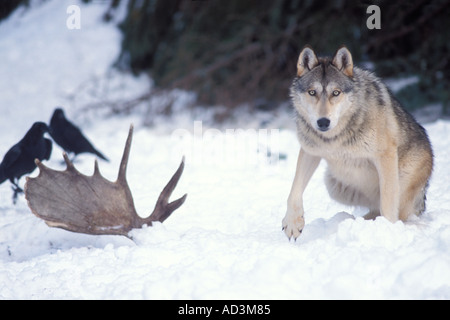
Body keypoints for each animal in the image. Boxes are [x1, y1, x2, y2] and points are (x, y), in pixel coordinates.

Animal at [284, 45, 434, 240]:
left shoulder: (385, 156)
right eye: (312, 92)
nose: (323, 122)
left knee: (397, 212)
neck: (335, 137)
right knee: (374, 209)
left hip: (401, 180)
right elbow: (294, 190)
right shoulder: (310, 151)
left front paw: (387, 232)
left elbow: (388, 203)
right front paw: (292, 223)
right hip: (333, 185)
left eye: (336, 93)